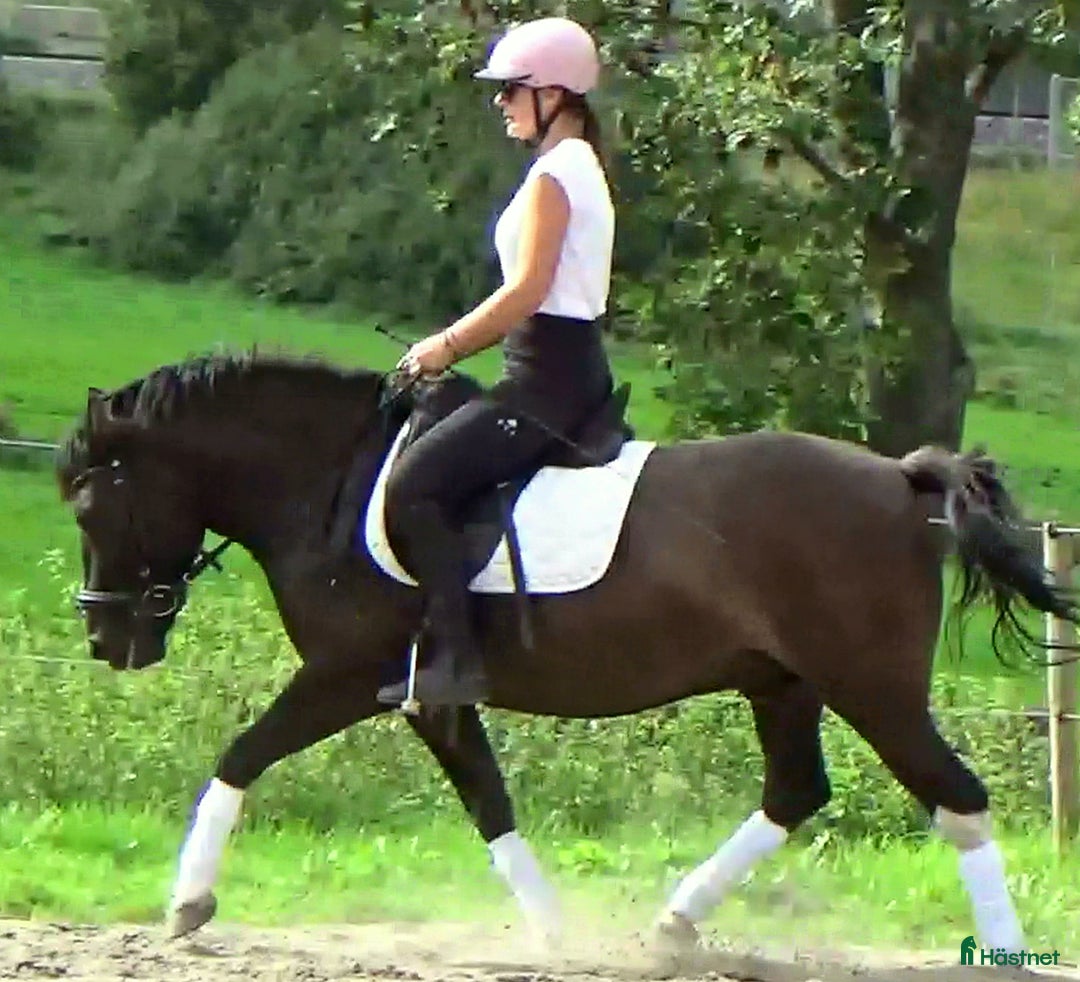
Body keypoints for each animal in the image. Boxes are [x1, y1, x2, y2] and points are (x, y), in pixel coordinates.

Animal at [55, 348, 1078, 955]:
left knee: (954, 797)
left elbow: (240, 756)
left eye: (93, 505)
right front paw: (552, 932)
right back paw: (672, 924)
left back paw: (1005, 954)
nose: (108, 637)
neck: (336, 485)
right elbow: (489, 802)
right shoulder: (432, 697)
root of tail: (903, 480)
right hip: (784, 682)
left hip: (872, 687)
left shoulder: (346, 677)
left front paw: (187, 902)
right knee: (797, 792)